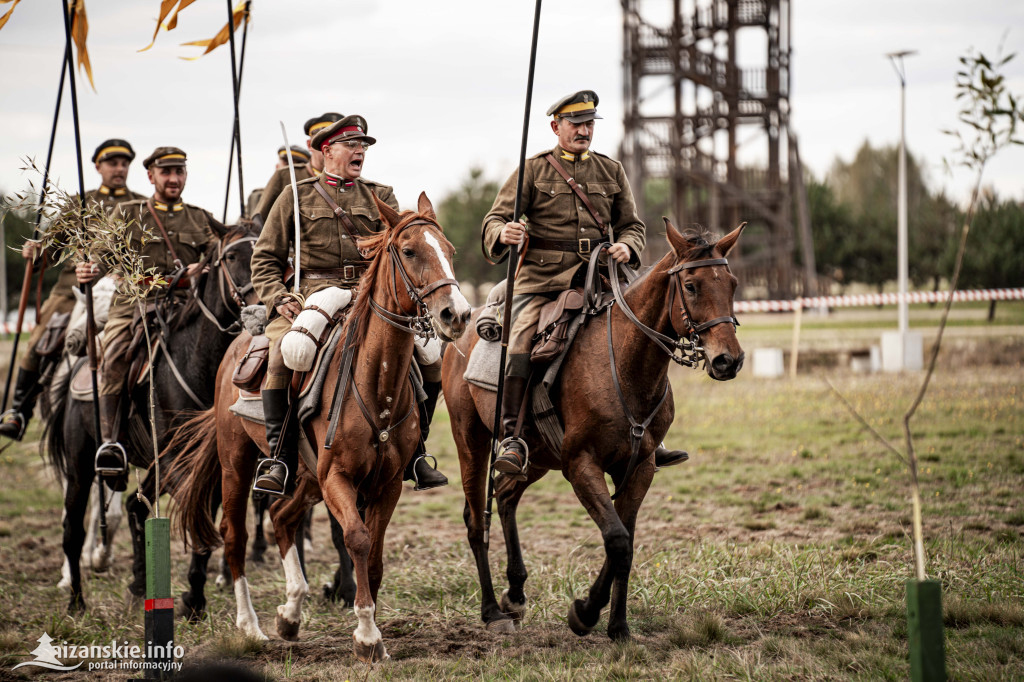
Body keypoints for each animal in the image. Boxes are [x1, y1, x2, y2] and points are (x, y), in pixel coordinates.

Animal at [45, 224, 256, 610]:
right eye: (232, 256)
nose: (260, 302)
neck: (196, 361)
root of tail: (79, 365)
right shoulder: (174, 461)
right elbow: (196, 513)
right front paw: (194, 595)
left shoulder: (209, 464)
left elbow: (202, 513)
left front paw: (195, 596)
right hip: (81, 466)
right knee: (73, 529)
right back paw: (77, 600)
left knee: (134, 507)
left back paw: (137, 585)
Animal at [167, 193, 471, 659]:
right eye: (409, 251)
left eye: (451, 251)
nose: (457, 314)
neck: (375, 381)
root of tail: (239, 341)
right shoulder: (337, 478)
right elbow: (357, 539)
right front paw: (366, 633)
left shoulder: (387, 484)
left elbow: (374, 553)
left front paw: (370, 629)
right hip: (238, 465)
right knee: (235, 535)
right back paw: (249, 625)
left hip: (306, 476)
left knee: (281, 517)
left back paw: (291, 612)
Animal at [440, 218, 745, 638]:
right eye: (691, 285)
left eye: (731, 283)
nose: (728, 360)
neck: (625, 364)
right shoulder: (582, 465)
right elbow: (616, 539)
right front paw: (584, 613)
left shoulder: (640, 468)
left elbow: (626, 544)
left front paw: (618, 626)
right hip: (471, 440)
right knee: (476, 518)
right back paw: (491, 611)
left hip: (536, 458)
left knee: (505, 496)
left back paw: (515, 593)